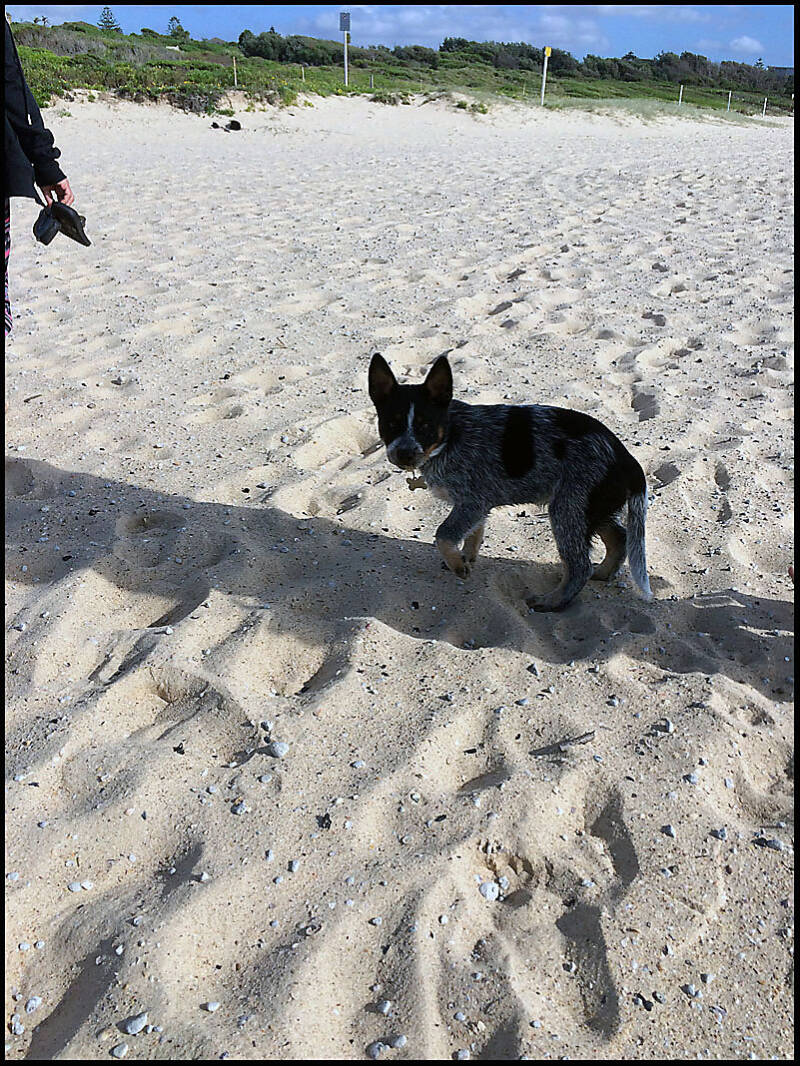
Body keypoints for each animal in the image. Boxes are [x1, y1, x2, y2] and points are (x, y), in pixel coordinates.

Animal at [368, 352, 652, 611]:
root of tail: (625, 458)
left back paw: (553, 601)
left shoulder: (472, 502)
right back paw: (602, 572)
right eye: (391, 424)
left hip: (568, 509)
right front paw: (466, 558)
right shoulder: (475, 506)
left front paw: (457, 565)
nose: (404, 453)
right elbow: (473, 534)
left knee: (580, 565)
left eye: (425, 426)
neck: (450, 437)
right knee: (619, 538)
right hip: (590, 507)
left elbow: (443, 535)